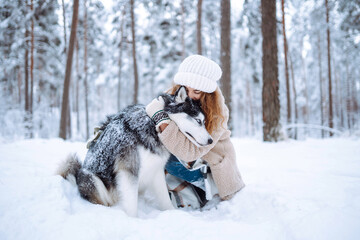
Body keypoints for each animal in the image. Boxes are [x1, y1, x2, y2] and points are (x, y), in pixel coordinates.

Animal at [57, 86, 212, 218]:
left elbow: (164, 198)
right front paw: (134, 220)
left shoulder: (156, 170)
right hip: (92, 180)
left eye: (204, 122)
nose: (211, 141)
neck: (152, 125)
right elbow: (131, 204)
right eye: (198, 121)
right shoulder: (128, 171)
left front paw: (173, 214)